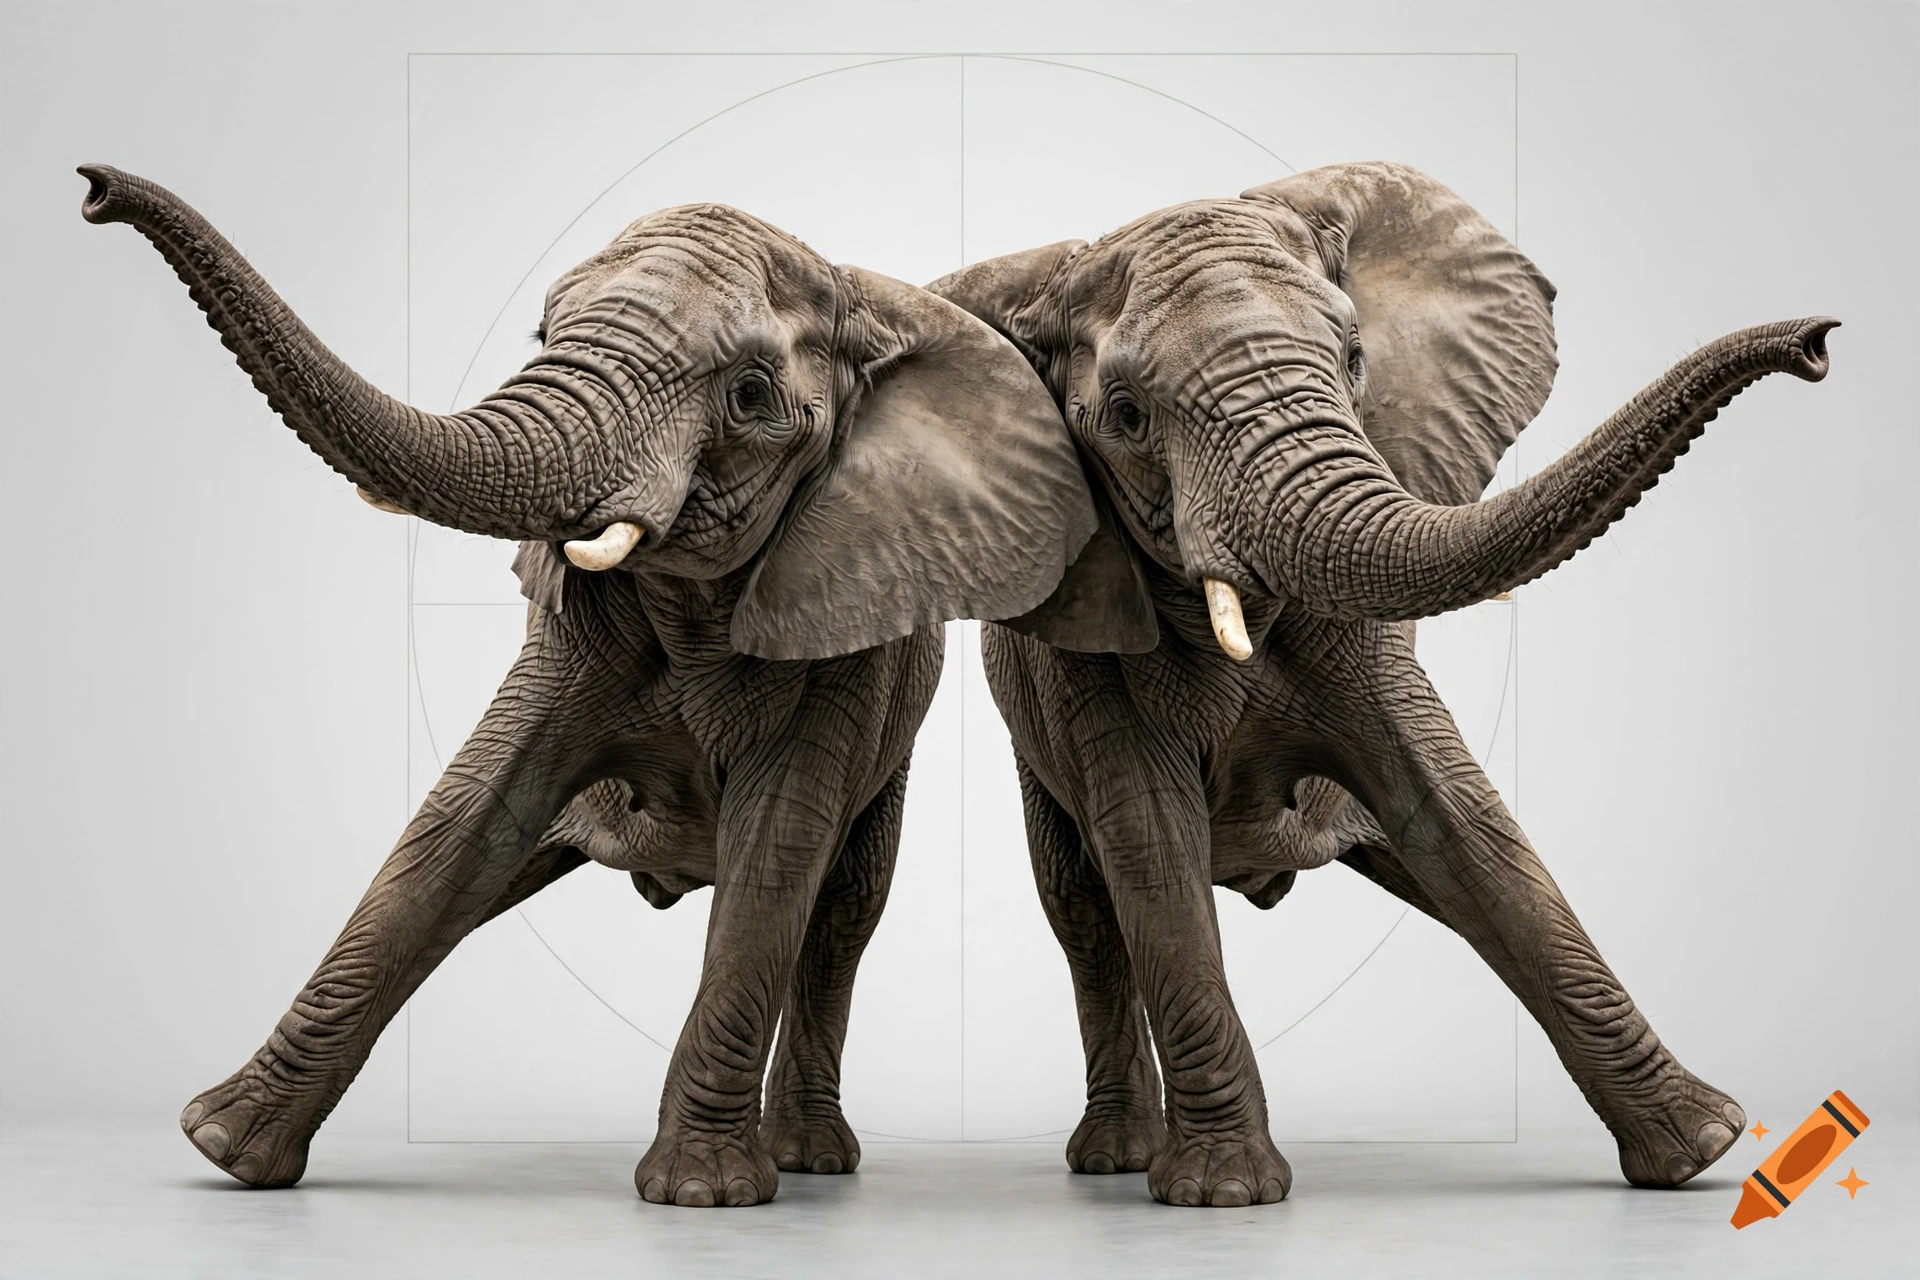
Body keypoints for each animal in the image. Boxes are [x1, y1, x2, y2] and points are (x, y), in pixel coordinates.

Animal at [79, 165, 1095, 1205]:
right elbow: (462, 823)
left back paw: (807, 1160)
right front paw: (223, 1149)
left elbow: (776, 850)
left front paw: (699, 1195)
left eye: (750, 393)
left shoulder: (848, 631)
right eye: (541, 336)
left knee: (839, 908)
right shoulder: (573, 633)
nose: (95, 189)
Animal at [931, 161, 1836, 1207]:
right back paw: (1118, 1158)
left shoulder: (1363, 647)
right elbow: (1151, 849)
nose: (1817, 344)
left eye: (1355, 356)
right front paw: (1224, 1196)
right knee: (1085, 907)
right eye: (1123, 416)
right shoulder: (1082, 649)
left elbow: (1461, 823)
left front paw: (1704, 1151)